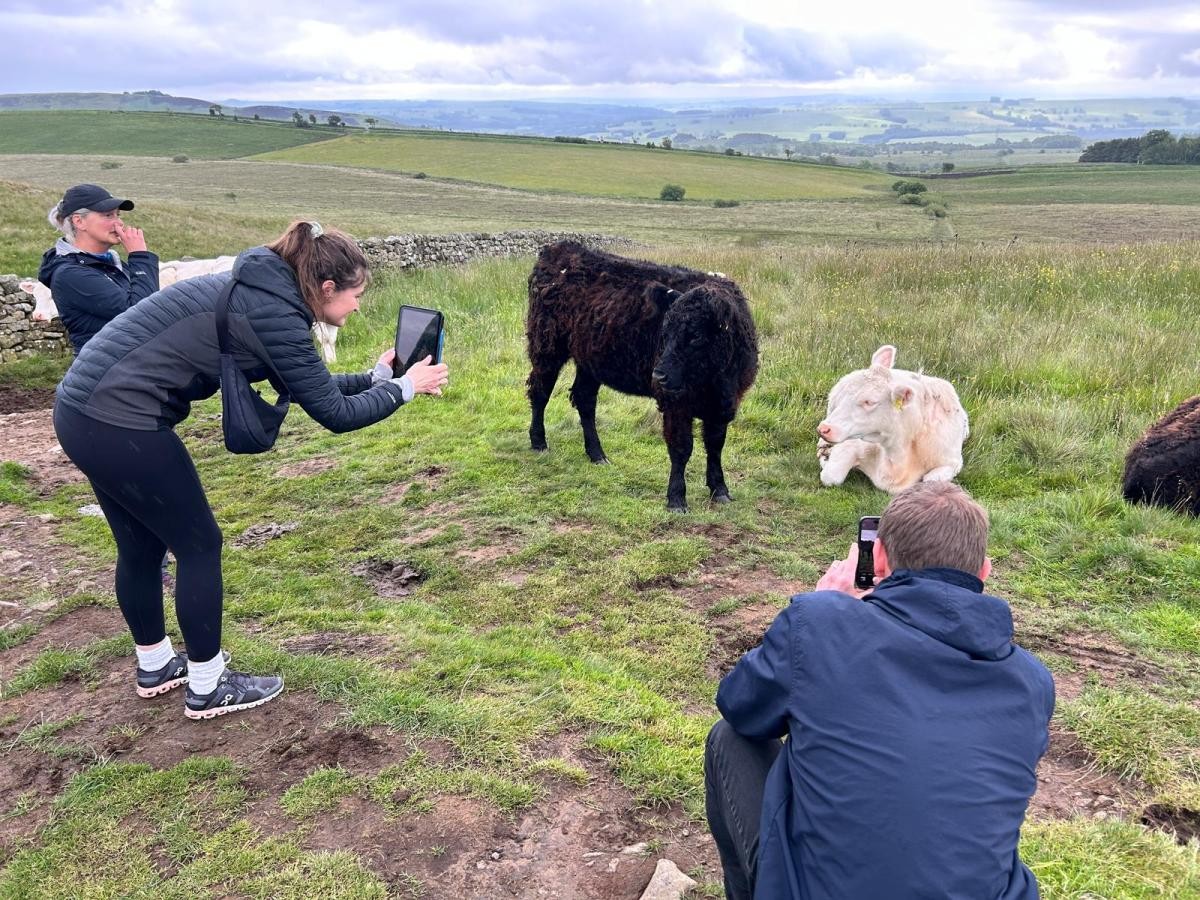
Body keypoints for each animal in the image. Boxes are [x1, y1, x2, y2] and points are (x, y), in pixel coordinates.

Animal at [526, 240, 759, 512]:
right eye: (664, 332)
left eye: (696, 336)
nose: (658, 376)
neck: (715, 381)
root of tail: (559, 249)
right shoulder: (675, 403)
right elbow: (681, 447)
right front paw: (676, 499)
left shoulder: (725, 404)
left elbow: (715, 445)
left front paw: (720, 490)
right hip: (547, 347)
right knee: (540, 392)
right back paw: (539, 442)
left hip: (590, 360)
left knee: (584, 400)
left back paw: (597, 454)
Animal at [816, 345, 969, 494]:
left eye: (869, 402)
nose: (824, 429)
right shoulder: (852, 443)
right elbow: (831, 476)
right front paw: (825, 456)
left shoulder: (953, 462)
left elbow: (931, 480)